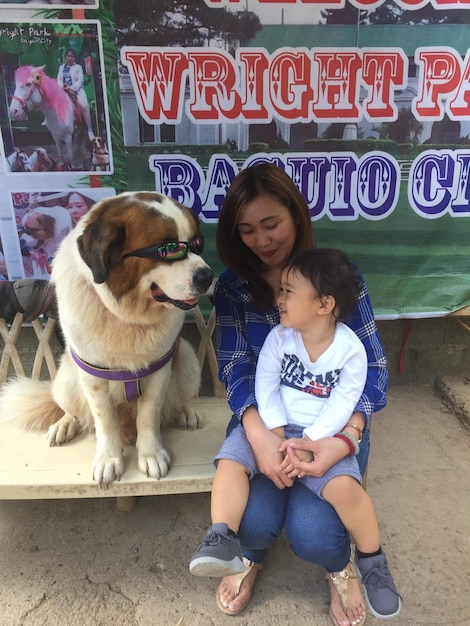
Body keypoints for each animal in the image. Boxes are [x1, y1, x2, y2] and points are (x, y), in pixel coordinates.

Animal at [0, 190, 213, 482]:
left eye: (197, 244)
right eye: (168, 249)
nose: (208, 275)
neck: (125, 314)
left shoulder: (159, 369)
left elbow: (149, 414)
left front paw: (151, 454)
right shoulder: (93, 374)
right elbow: (105, 420)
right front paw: (108, 459)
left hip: (188, 361)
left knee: (174, 402)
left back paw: (186, 412)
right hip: (66, 378)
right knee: (73, 410)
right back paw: (64, 424)